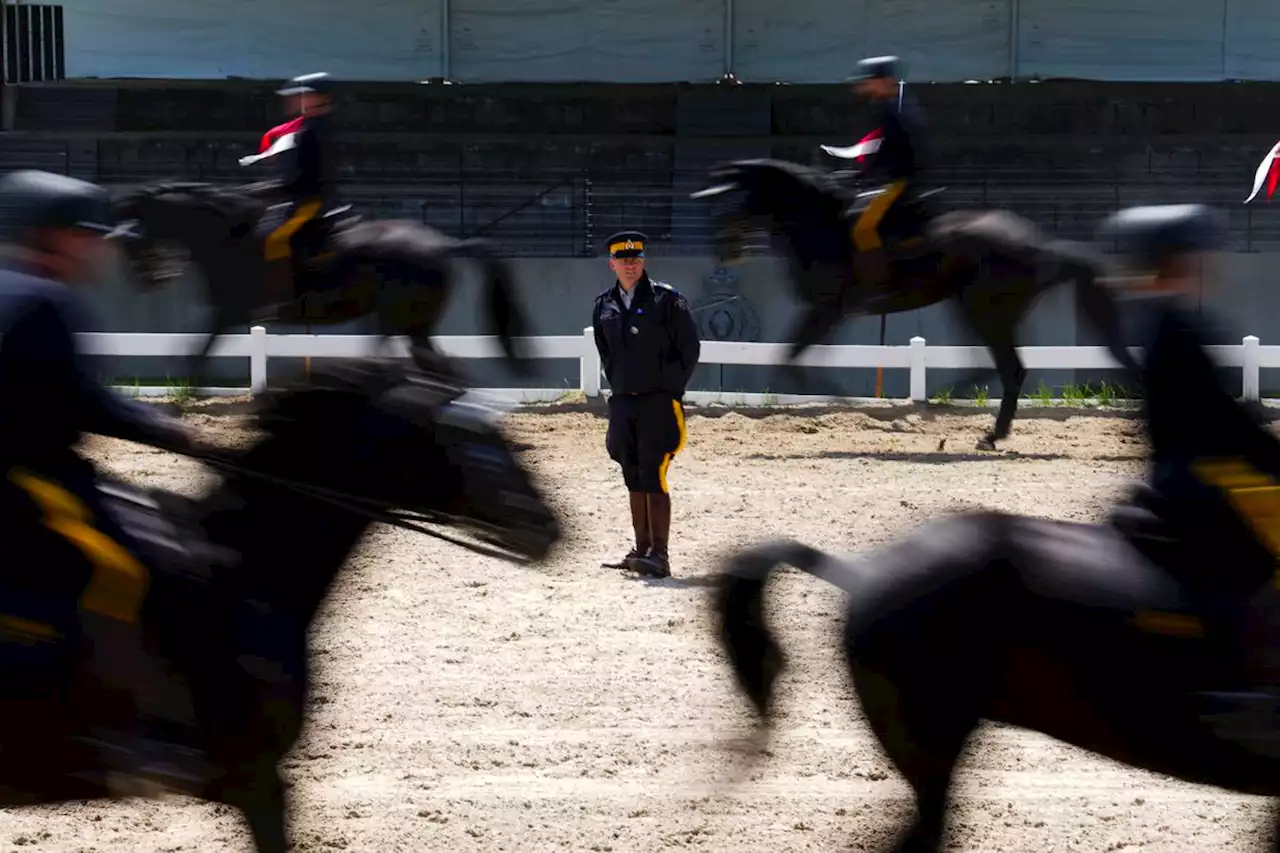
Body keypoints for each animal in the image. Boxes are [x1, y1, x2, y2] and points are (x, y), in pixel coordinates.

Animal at [107, 183, 532, 389]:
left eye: (132, 241)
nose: (151, 281)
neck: (230, 238)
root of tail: (441, 245)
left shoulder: (228, 313)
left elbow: (194, 354)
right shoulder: (229, 315)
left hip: (398, 320)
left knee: (413, 366)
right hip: (412, 326)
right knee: (432, 367)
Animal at [691, 161, 1141, 450]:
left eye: (729, 202)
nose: (725, 252)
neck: (820, 226)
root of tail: (1038, 246)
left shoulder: (827, 309)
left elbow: (791, 360)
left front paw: (846, 402)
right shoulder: (828, 313)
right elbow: (795, 359)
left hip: (982, 310)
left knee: (1010, 369)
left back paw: (981, 429)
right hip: (973, 309)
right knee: (996, 367)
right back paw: (955, 409)